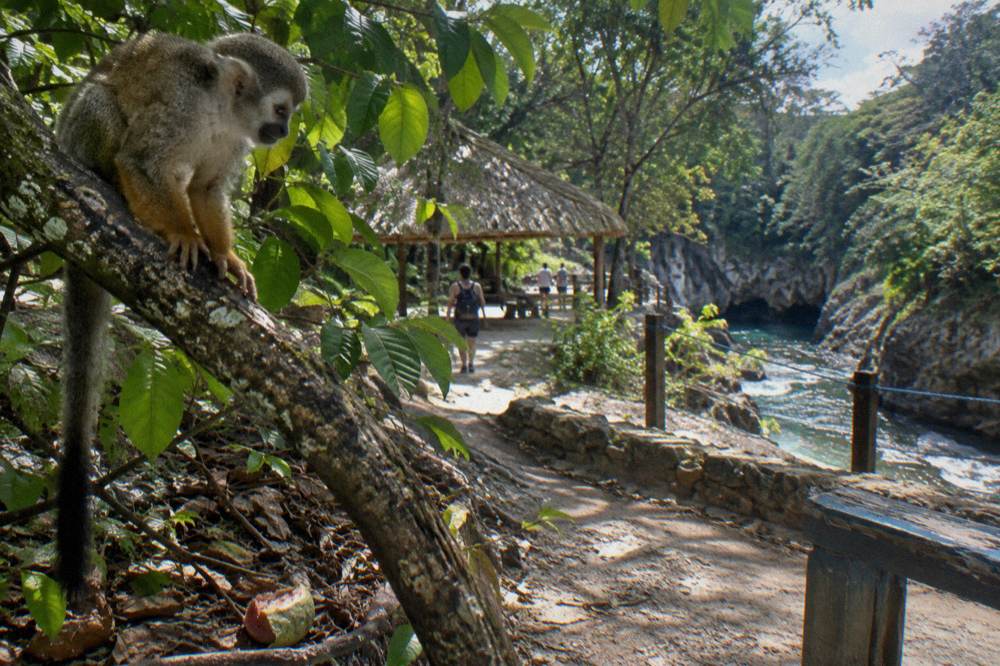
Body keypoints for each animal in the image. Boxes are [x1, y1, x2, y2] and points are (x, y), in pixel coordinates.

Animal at [53, 32, 307, 597]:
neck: (219, 112)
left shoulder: (235, 141)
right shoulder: (180, 107)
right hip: (74, 135)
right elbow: (141, 162)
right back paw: (111, 181)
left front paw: (227, 257)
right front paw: (183, 234)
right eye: (281, 110)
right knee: (102, 106)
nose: (281, 133)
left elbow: (205, 190)